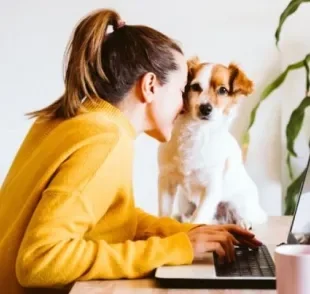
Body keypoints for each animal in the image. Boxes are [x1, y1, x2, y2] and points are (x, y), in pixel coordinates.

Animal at [159, 56, 268, 229]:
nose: (205, 108)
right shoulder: (166, 179)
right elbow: (163, 213)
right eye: (195, 87)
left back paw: (244, 222)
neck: (196, 131)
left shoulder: (211, 187)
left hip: (239, 203)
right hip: (185, 202)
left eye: (223, 90)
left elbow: (199, 218)